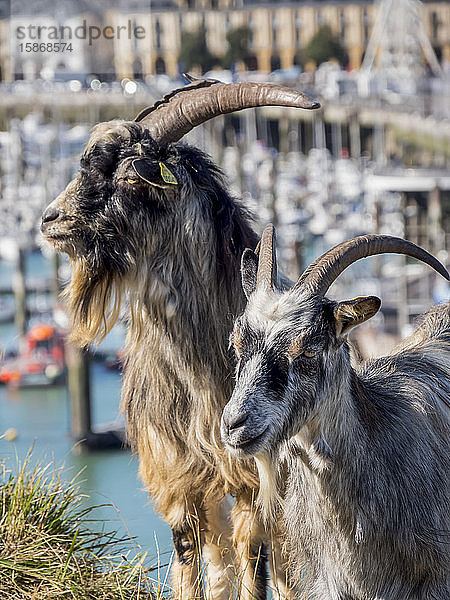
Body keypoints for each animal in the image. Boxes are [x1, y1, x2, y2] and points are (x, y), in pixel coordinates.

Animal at [39, 78, 320, 600]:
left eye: (132, 180)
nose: (51, 220)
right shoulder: (177, 478)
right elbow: (190, 561)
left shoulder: (253, 480)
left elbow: (255, 566)